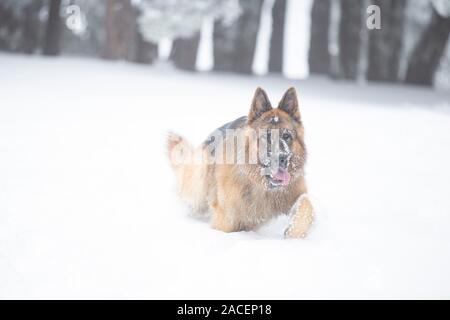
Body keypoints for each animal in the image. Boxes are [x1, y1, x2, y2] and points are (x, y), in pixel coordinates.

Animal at [166, 87, 312, 238]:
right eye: (265, 137)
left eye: (286, 136)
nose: (282, 158)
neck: (263, 188)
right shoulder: (225, 221)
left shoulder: (295, 193)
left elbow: (306, 204)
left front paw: (294, 232)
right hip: (198, 188)